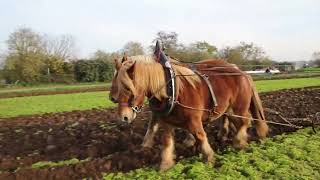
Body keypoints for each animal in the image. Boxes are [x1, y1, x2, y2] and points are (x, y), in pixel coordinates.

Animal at [109, 55, 268, 172]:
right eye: (115, 85)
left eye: (128, 88)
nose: (123, 117)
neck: (172, 91)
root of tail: (243, 73)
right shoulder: (166, 121)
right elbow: (167, 141)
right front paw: (165, 164)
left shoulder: (194, 120)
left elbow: (200, 136)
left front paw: (208, 157)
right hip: (228, 109)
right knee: (234, 121)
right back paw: (225, 136)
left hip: (238, 108)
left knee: (245, 121)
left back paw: (239, 142)